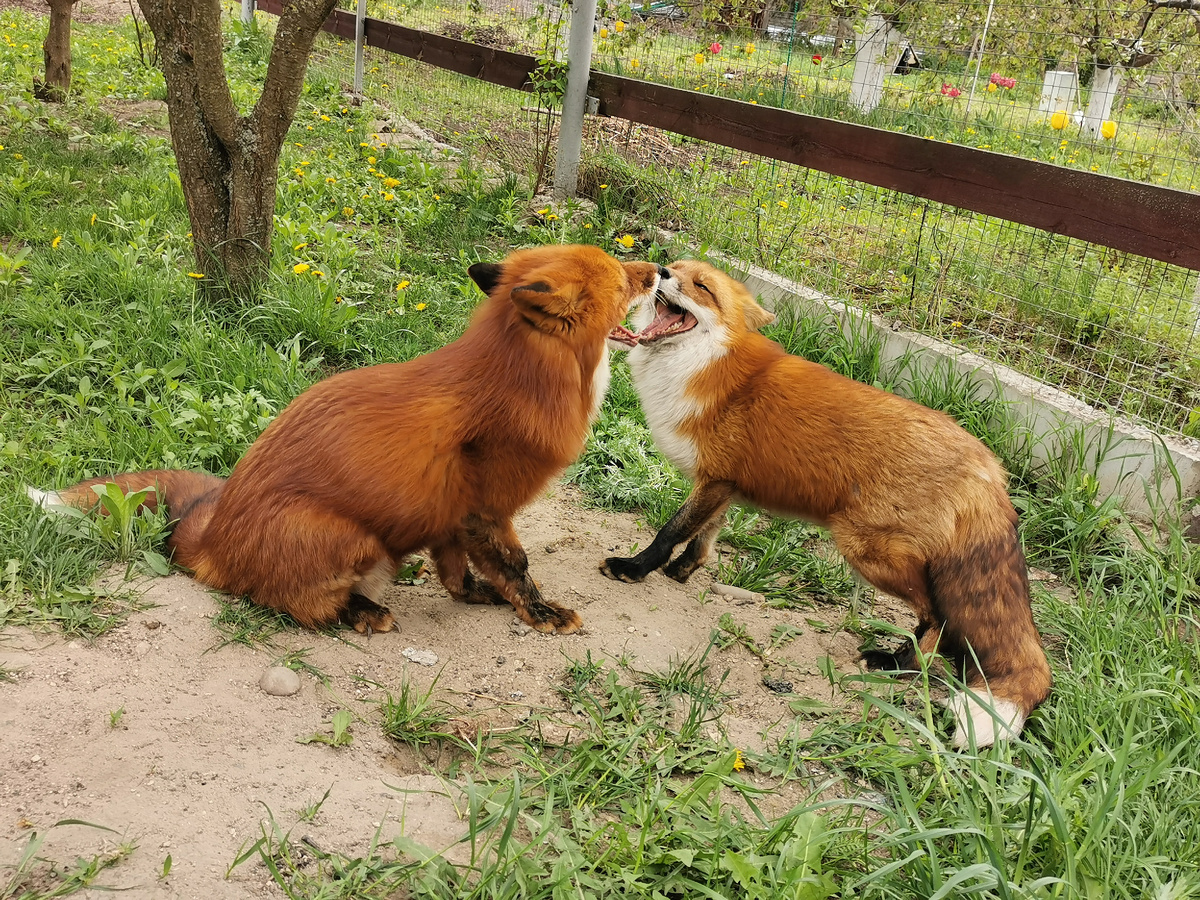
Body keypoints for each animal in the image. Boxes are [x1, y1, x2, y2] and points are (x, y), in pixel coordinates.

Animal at [29, 245, 663, 637]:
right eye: (621, 275)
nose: (659, 269)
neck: (518, 378)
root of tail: (213, 538)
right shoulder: (487, 510)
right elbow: (518, 568)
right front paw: (541, 612)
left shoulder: (447, 517)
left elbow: (457, 578)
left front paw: (477, 595)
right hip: (355, 540)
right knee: (297, 605)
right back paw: (360, 611)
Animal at [601, 259, 1052, 748]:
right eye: (678, 268)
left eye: (701, 286)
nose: (661, 267)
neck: (706, 366)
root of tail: (990, 467)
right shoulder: (722, 482)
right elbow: (704, 539)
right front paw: (682, 572)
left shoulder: (715, 479)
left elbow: (671, 530)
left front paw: (636, 568)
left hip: (866, 550)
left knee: (942, 619)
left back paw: (896, 667)